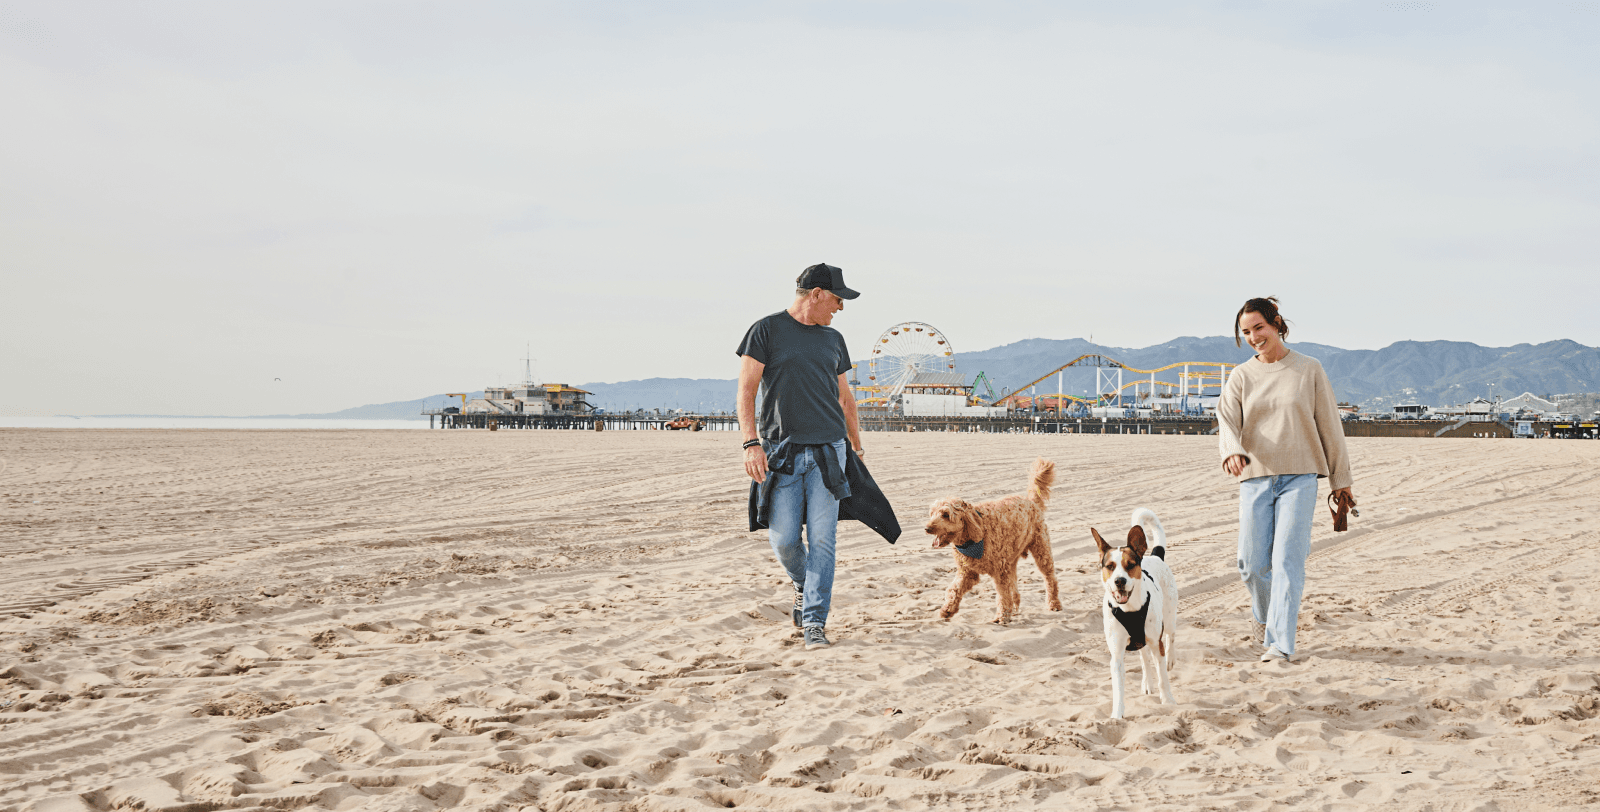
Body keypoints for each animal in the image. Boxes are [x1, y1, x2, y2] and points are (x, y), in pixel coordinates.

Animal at [928, 457, 1062, 620]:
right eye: (932, 514)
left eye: (946, 515)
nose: (927, 528)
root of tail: (1031, 501)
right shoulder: (967, 572)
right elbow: (954, 589)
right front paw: (947, 609)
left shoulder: (1000, 571)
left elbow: (1003, 594)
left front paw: (1002, 616)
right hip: (1011, 560)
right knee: (1014, 586)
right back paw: (1015, 608)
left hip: (1041, 550)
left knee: (1050, 578)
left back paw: (1054, 604)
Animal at [1094, 511, 1184, 719]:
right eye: (1110, 566)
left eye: (1130, 565)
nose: (1119, 581)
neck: (1130, 610)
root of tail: (1155, 556)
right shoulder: (1117, 654)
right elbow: (1118, 688)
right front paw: (1117, 714)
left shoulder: (1156, 643)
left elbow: (1163, 678)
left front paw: (1168, 701)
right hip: (1139, 639)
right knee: (1143, 658)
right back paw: (1147, 683)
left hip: (1168, 617)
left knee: (1171, 636)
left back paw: (1171, 658)